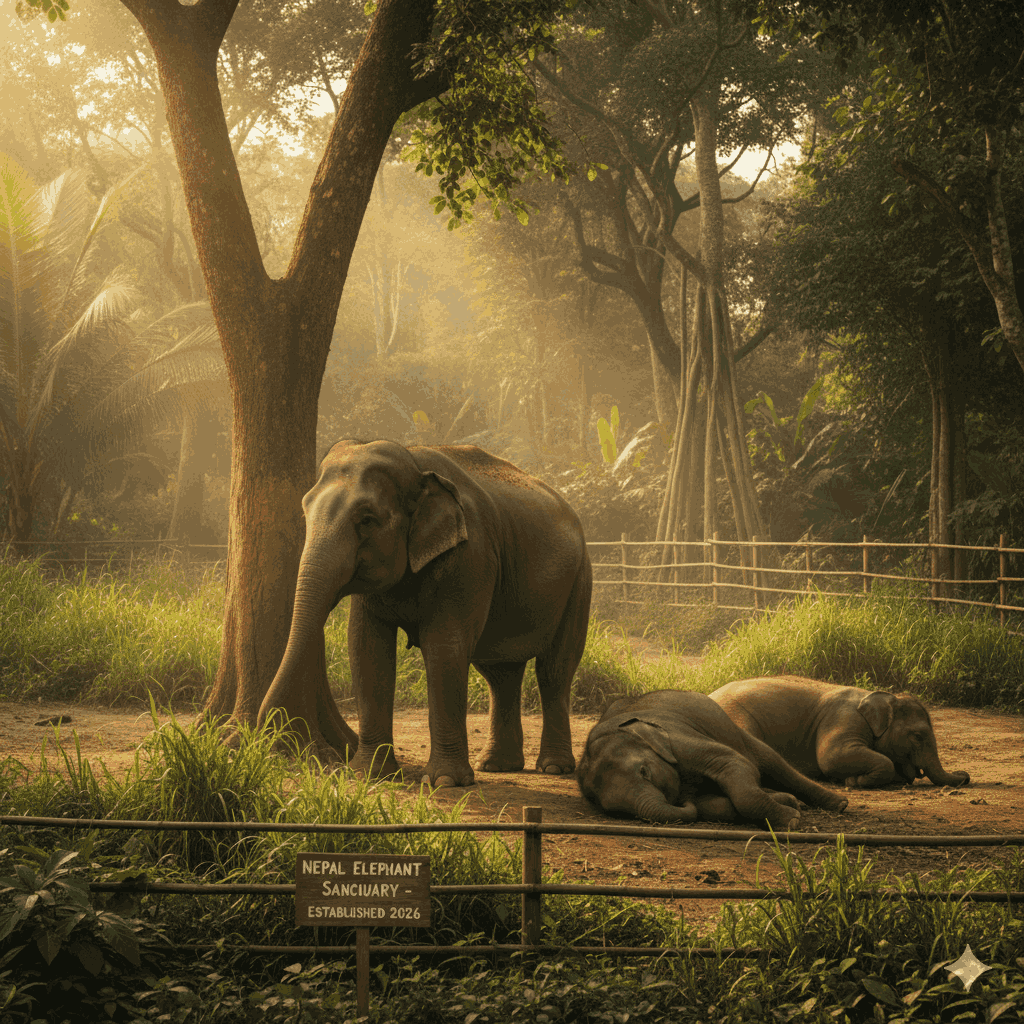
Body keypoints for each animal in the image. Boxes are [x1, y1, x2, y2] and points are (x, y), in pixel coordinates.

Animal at [258, 438, 592, 788]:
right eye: (305, 509)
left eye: (366, 519)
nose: (271, 734)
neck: (414, 462)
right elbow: (367, 648)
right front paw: (368, 774)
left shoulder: (469, 557)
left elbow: (445, 648)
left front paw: (445, 782)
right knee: (500, 673)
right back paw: (497, 766)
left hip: (579, 581)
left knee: (554, 670)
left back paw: (553, 768)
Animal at [577, 690, 849, 829]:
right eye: (615, 812)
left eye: (645, 771)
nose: (681, 800)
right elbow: (712, 805)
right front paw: (791, 810)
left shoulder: (680, 738)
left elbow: (734, 764)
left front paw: (792, 821)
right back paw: (792, 801)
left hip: (733, 730)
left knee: (771, 763)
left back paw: (839, 804)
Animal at [709, 676, 970, 789]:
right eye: (917, 736)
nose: (965, 775)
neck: (884, 697)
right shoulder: (845, 719)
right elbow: (832, 756)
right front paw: (853, 781)